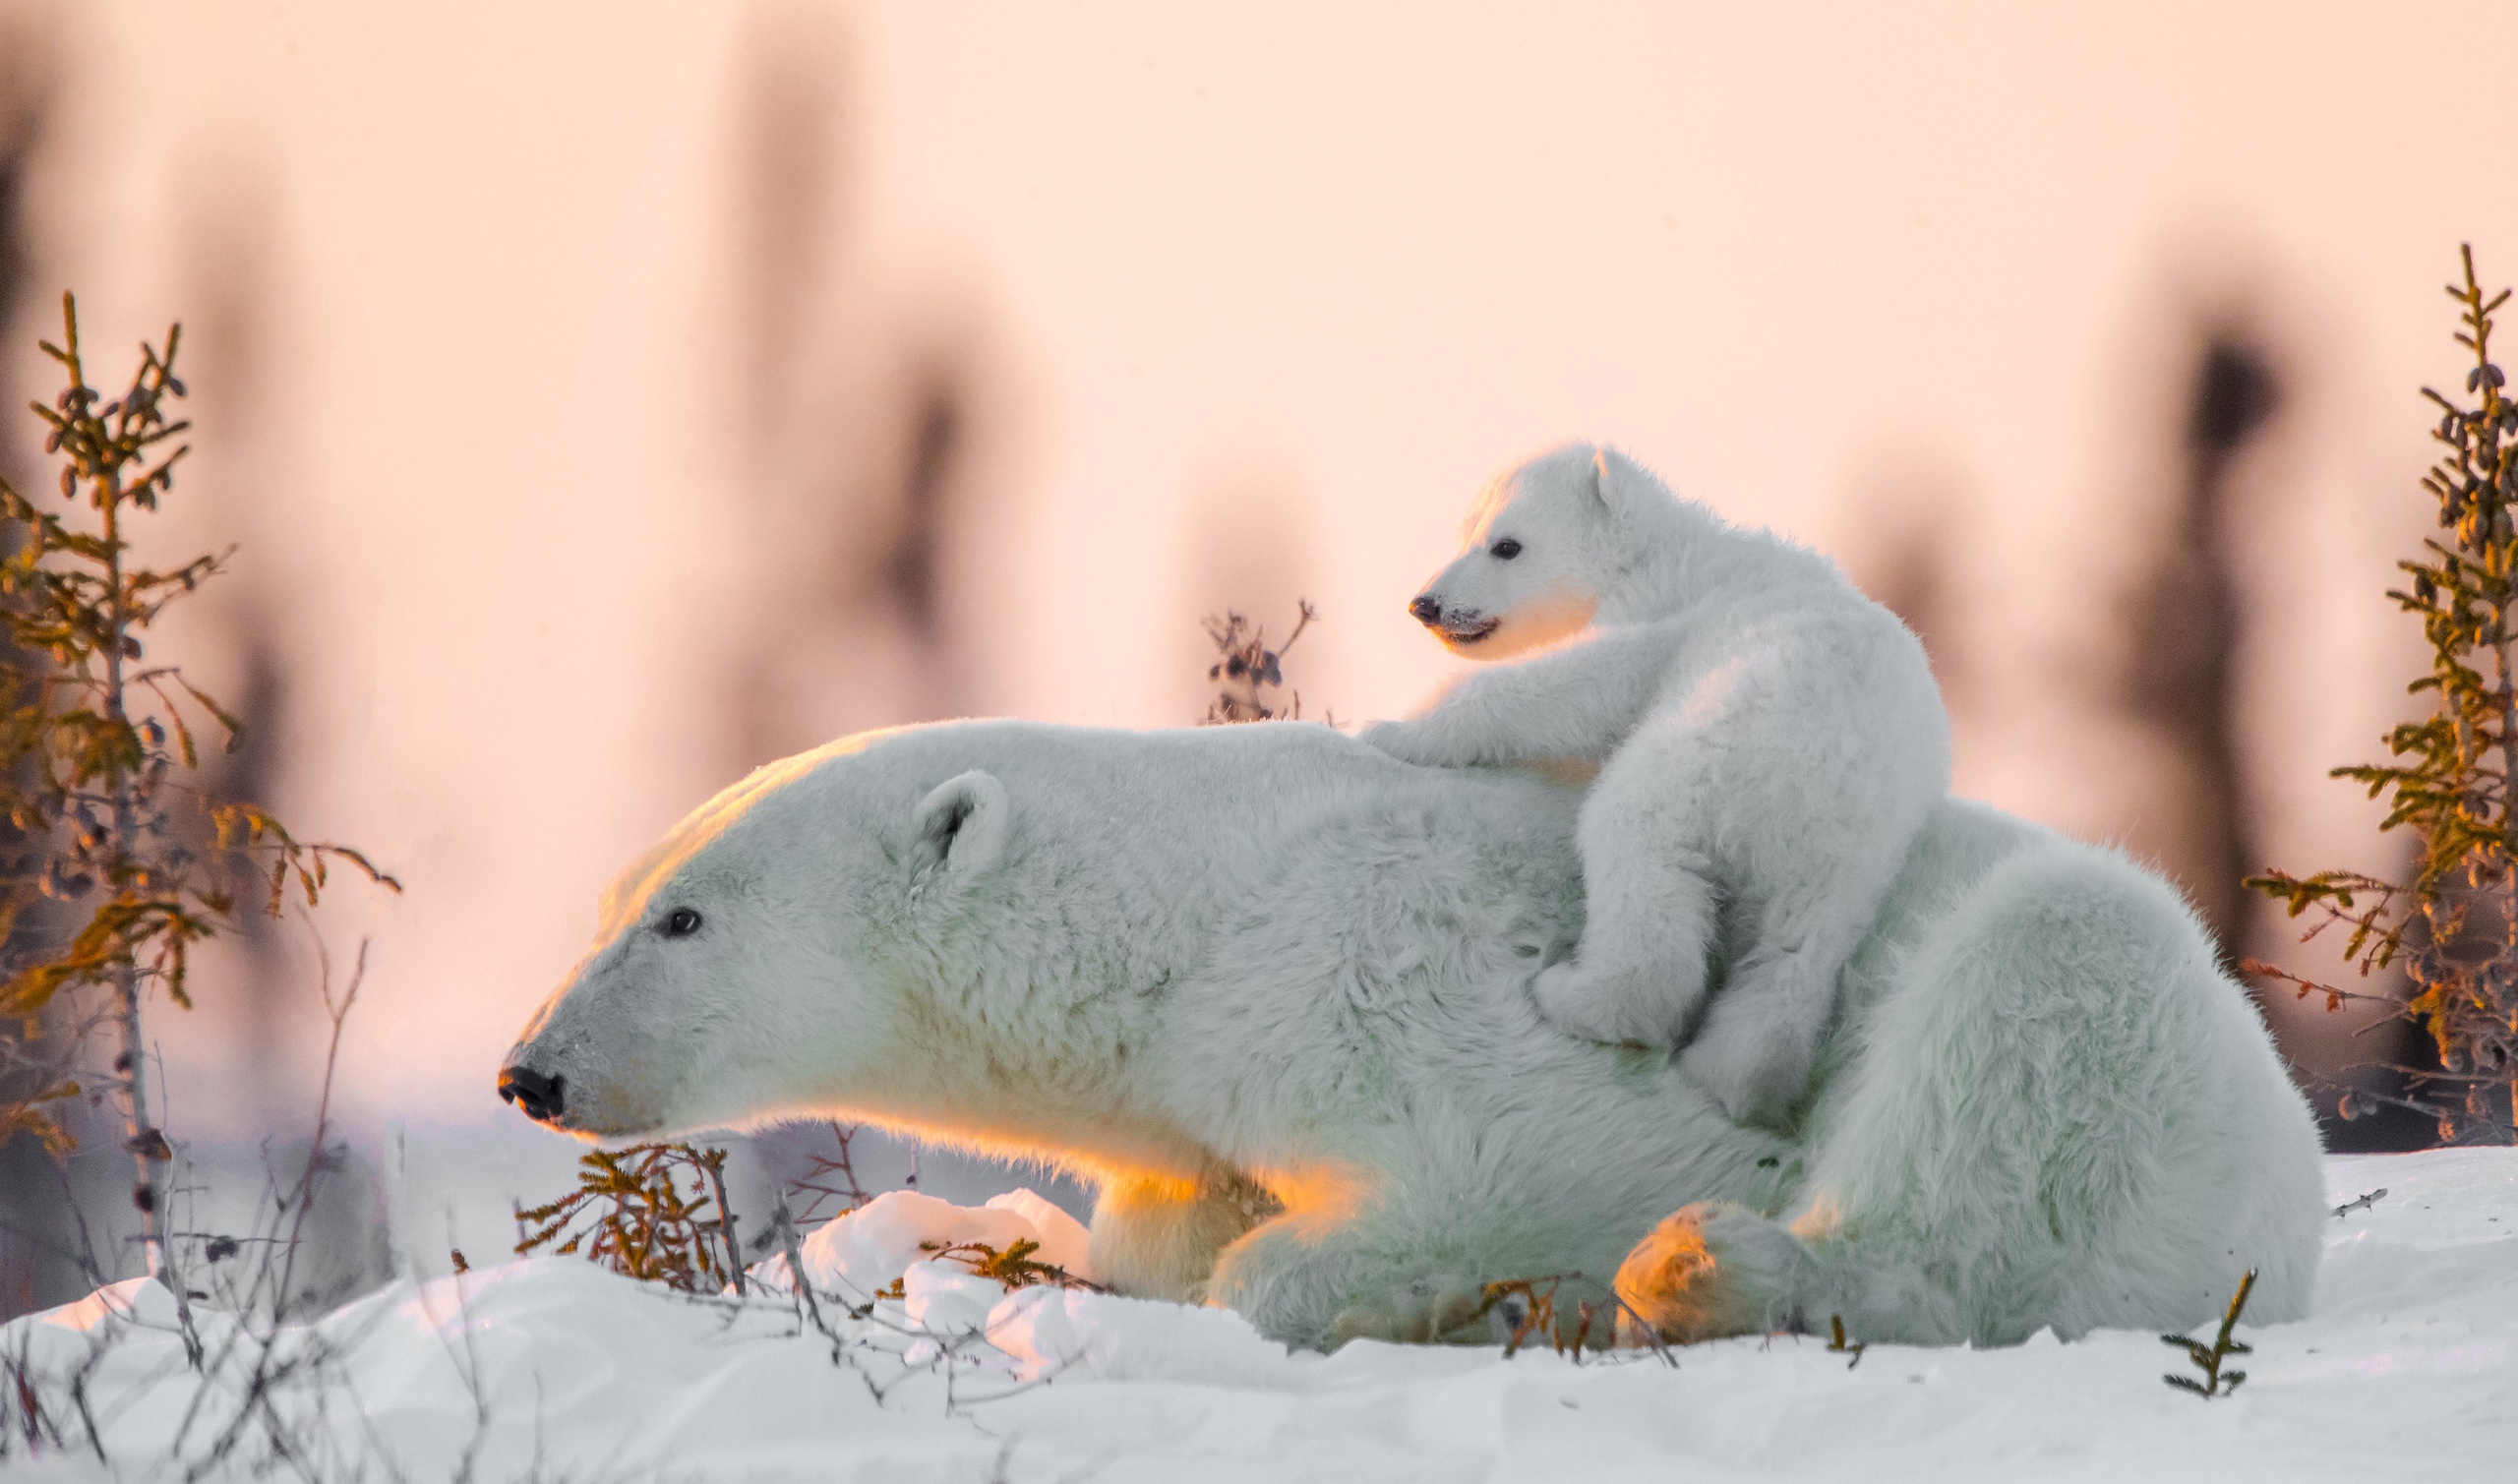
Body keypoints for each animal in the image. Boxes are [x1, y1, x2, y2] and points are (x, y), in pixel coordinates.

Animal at [496, 715, 2316, 1350]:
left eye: (683, 918)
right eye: (614, 894)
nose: (531, 1069)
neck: (1194, 906)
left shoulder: (1387, 968)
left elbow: (1525, 1159)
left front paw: (1400, 1282)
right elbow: (1168, 1215)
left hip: (2113, 1032)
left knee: (2017, 1058)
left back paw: (1711, 1270)